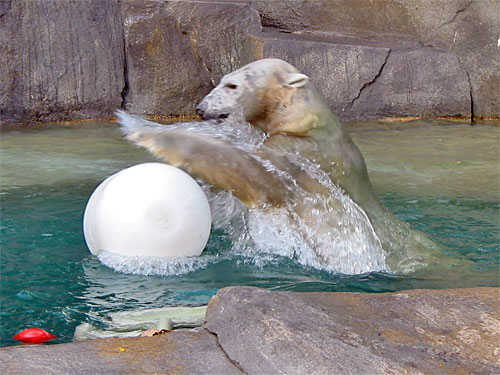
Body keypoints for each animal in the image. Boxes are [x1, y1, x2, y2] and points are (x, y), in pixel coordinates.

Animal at [119, 58, 440, 274]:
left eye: (232, 85)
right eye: (221, 80)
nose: (201, 109)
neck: (305, 122)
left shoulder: (298, 160)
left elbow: (252, 174)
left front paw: (148, 133)